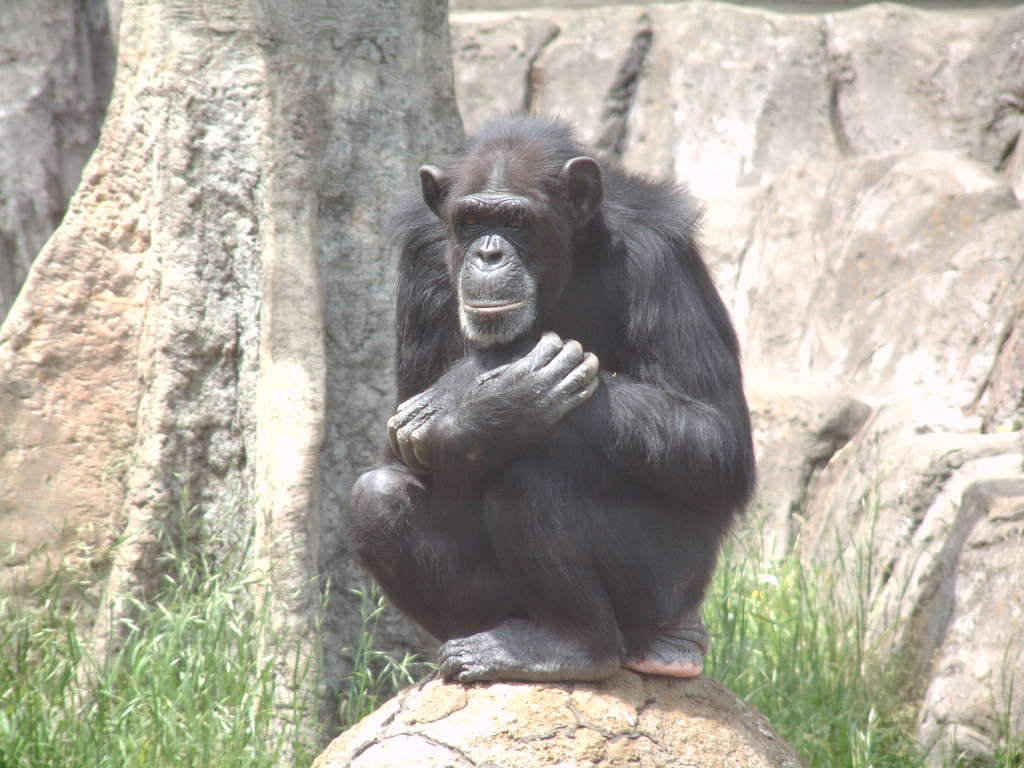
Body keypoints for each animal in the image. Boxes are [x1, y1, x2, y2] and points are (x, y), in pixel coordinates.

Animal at [348, 115, 757, 684]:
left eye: (516, 221)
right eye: (471, 220)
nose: (488, 253)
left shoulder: (657, 259)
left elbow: (716, 438)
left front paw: (474, 393)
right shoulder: (422, 263)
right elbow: (404, 446)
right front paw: (492, 402)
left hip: (661, 585)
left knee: (540, 458)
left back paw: (581, 645)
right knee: (377, 497)